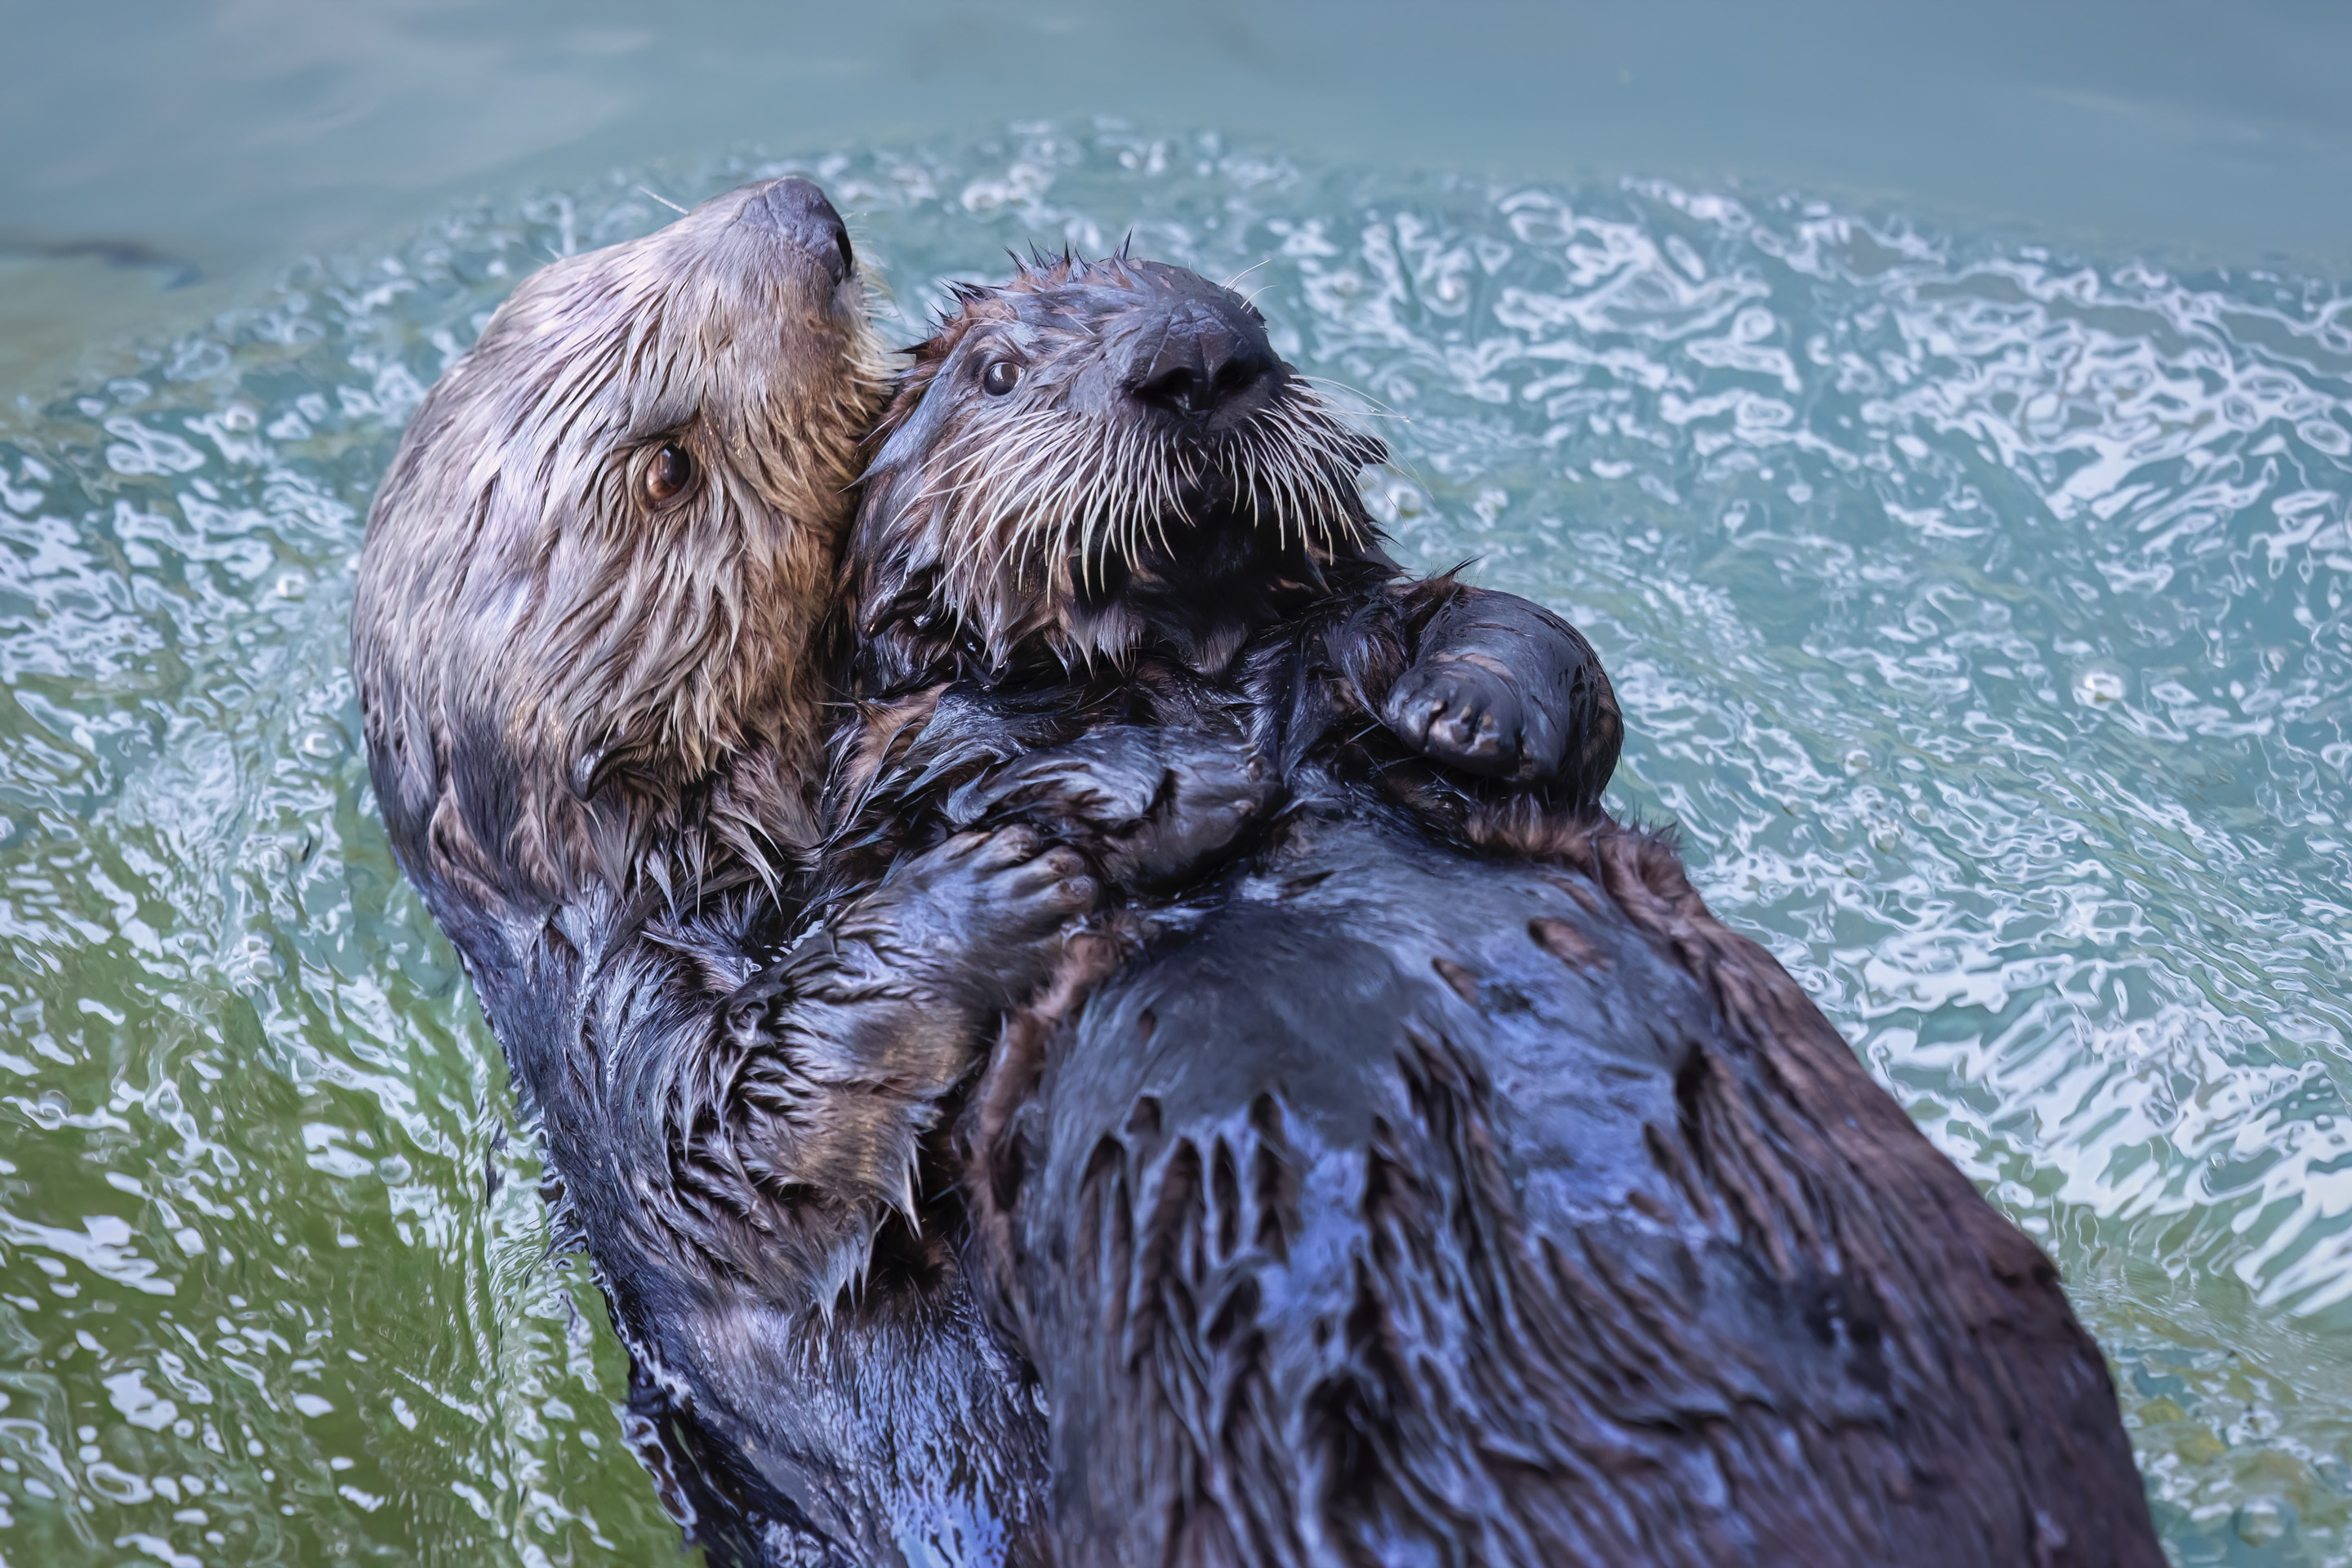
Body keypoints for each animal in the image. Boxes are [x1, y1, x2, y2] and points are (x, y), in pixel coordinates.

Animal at [353, 188, 1618, 1564]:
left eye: (588, 274)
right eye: (668, 465)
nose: (804, 214)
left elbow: (1521, 656)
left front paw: (1469, 702)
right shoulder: (614, 1022)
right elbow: (739, 1161)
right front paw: (1038, 862)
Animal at [816, 252, 2166, 1564]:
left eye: (1248, 312)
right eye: (995, 371)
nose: (1196, 355)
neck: (1198, 672)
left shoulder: (1380, 630)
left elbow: (1526, 642)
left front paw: (1460, 711)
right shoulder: (904, 773)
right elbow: (959, 779)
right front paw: (1150, 788)